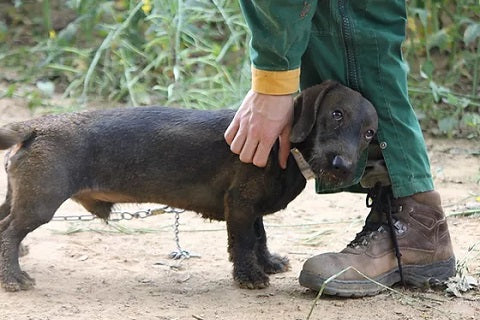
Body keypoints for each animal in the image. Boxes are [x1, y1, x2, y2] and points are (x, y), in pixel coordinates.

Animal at [0, 80, 378, 292]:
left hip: (18, 198)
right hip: (38, 203)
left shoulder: (250, 208)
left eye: (369, 133)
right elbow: (244, 243)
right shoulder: (240, 206)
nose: (342, 166)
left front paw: (268, 262)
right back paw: (13, 278)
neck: (280, 148)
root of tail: (37, 126)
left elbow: (261, 237)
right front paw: (249, 276)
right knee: (9, 234)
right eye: (336, 114)